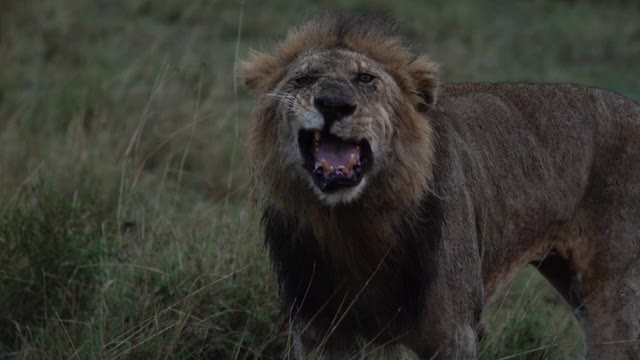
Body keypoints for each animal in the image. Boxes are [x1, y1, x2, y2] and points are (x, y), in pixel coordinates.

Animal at [240, 12, 640, 358]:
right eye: (303, 80)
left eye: (365, 79)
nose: (333, 104)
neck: (353, 223)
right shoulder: (318, 332)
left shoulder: (453, 334)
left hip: (613, 299)